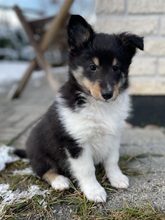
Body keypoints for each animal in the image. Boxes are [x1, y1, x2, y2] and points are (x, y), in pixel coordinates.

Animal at [14, 14, 143, 202]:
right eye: (92, 67)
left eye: (116, 68)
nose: (108, 94)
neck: (99, 105)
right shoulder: (76, 143)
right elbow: (87, 169)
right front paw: (94, 191)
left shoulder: (113, 136)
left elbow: (112, 160)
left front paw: (117, 179)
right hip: (40, 153)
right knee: (43, 170)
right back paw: (60, 181)